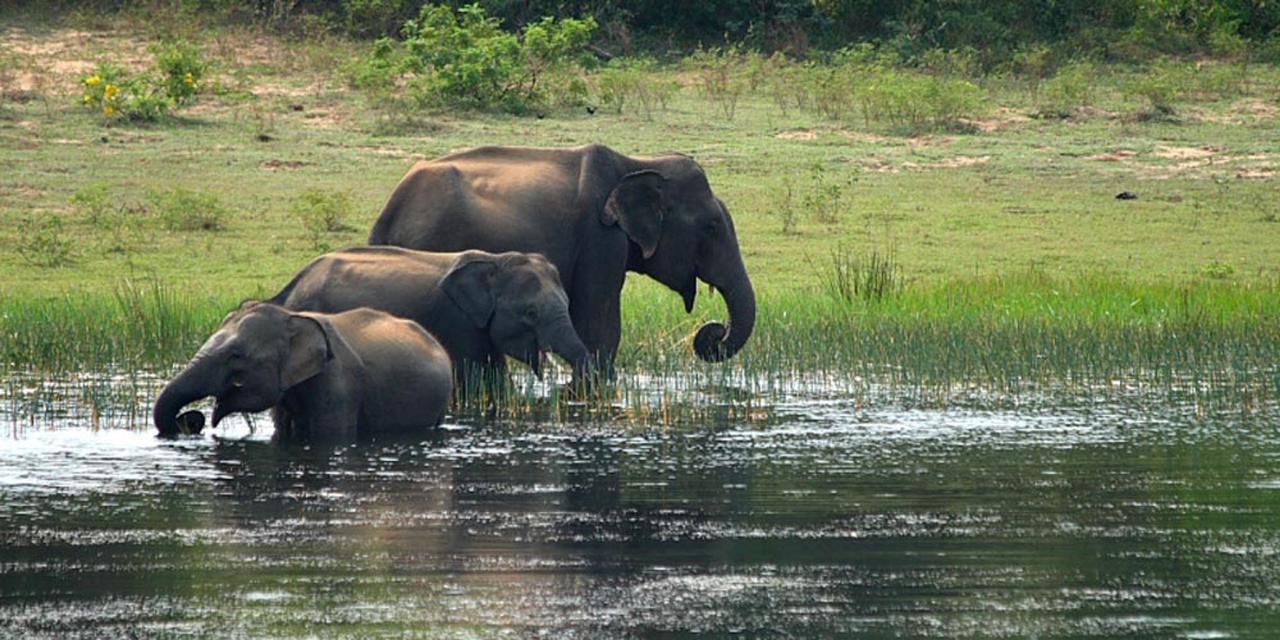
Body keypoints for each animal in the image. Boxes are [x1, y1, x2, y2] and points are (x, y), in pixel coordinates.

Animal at [366, 142, 752, 373]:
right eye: (711, 227)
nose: (713, 333)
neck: (638, 163)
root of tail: (388, 213)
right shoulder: (600, 238)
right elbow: (600, 328)